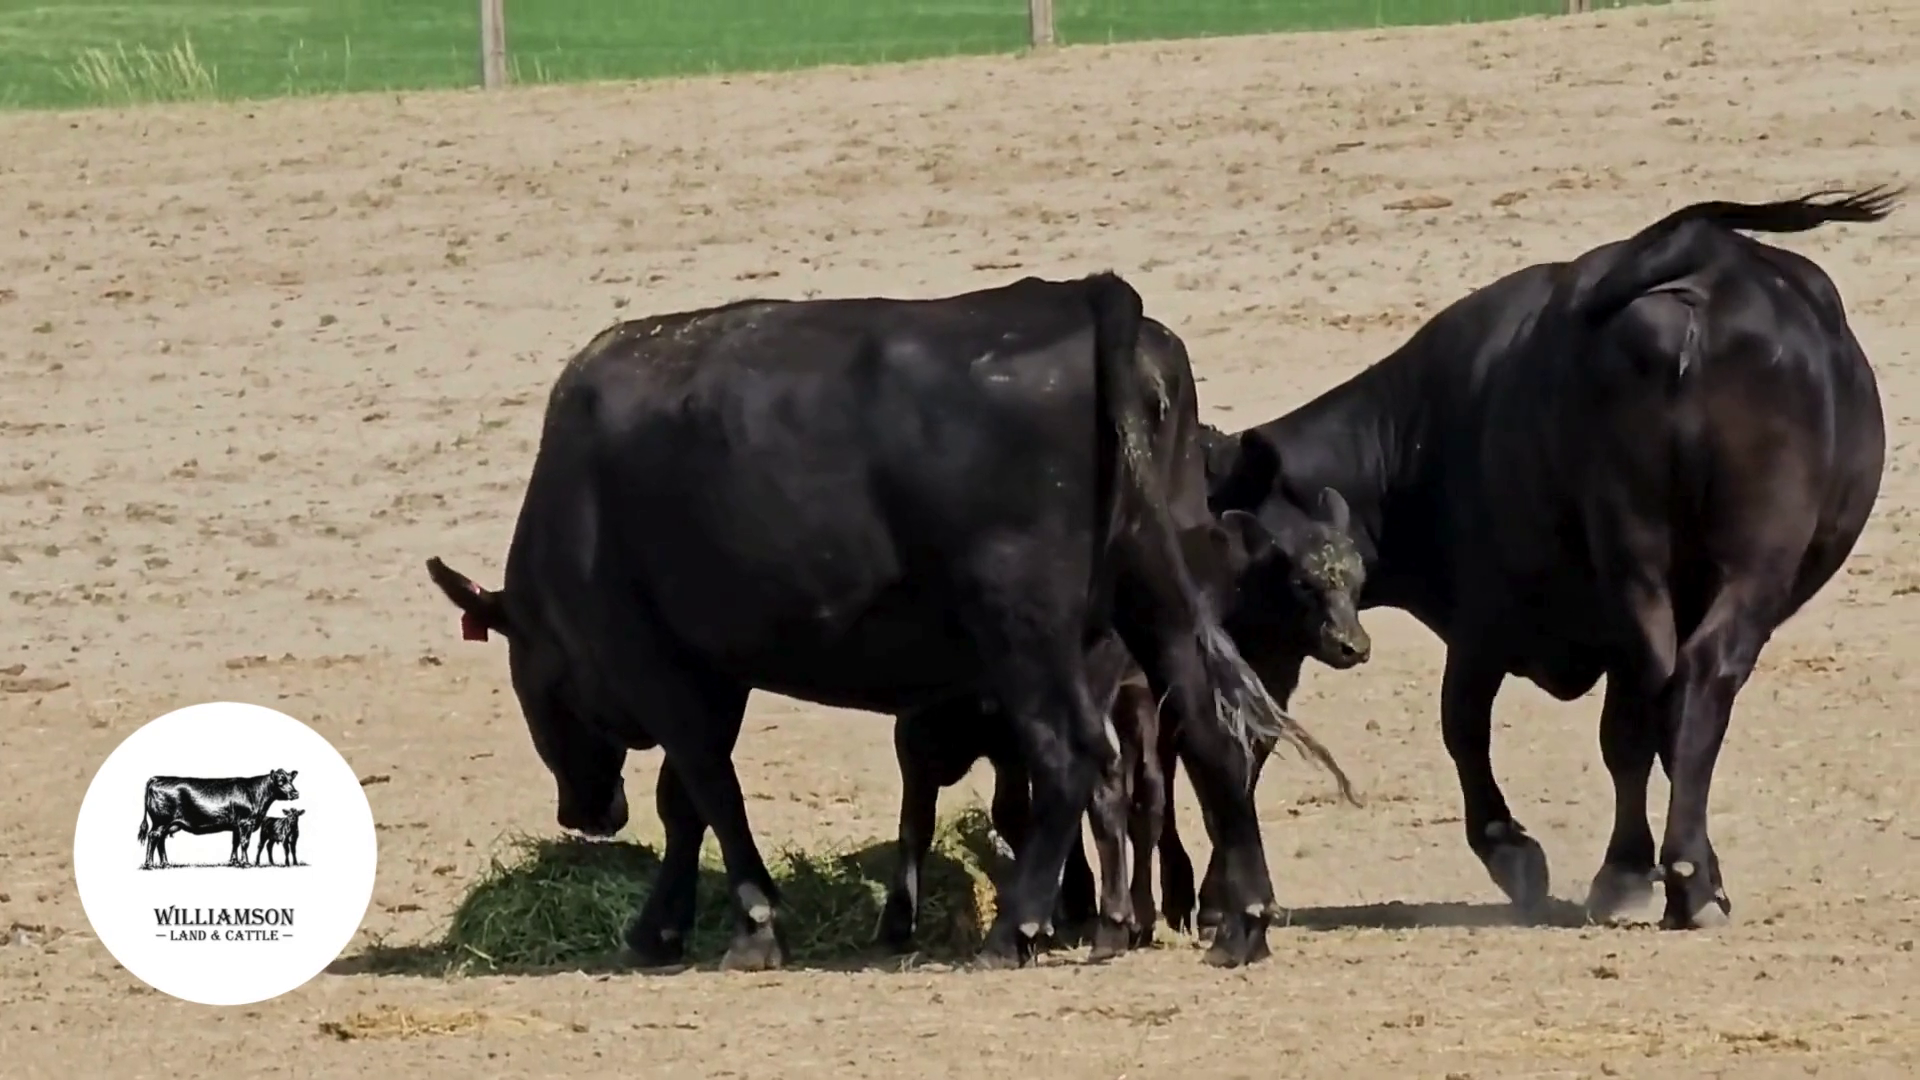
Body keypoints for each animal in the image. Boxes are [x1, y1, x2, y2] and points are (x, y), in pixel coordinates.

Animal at [139, 764, 299, 864]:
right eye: (280, 781)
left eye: (291, 780)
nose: (295, 793)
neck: (255, 793)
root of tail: (157, 778)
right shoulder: (245, 822)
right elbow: (244, 842)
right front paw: (245, 862)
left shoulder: (236, 825)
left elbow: (235, 842)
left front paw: (234, 862)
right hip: (160, 822)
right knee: (153, 837)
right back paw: (149, 864)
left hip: (168, 824)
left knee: (160, 840)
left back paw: (165, 863)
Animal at [428, 270, 1351, 968]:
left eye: (530, 680)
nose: (583, 815)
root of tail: (1080, 296)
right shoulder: (712, 668)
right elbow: (684, 800)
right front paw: (663, 926)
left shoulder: (655, 660)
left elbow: (707, 786)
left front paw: (751, 923)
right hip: (1158, 590)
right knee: (1209, 727)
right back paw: (1243, 922)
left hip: (1024, 623)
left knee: (1071, 753)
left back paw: (1017, 929)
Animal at [1205, 184, 1896, 926]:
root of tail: (1700, 284)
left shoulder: (1479, 623)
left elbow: (1464, 725)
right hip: (1713, 564)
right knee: (1679, 685)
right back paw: (1667, 874)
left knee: (1657, 699)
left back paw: (1654, 871)